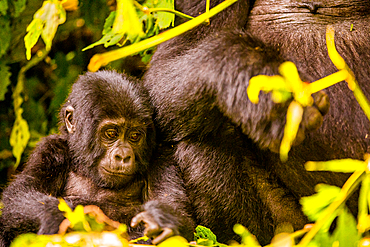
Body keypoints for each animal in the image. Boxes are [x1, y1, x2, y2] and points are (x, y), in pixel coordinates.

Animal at [0, 70, 155, 246]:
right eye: (111, 133)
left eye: (135, 136)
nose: (123, 156)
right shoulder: (50, 150)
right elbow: (17, 195)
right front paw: (56, 217)